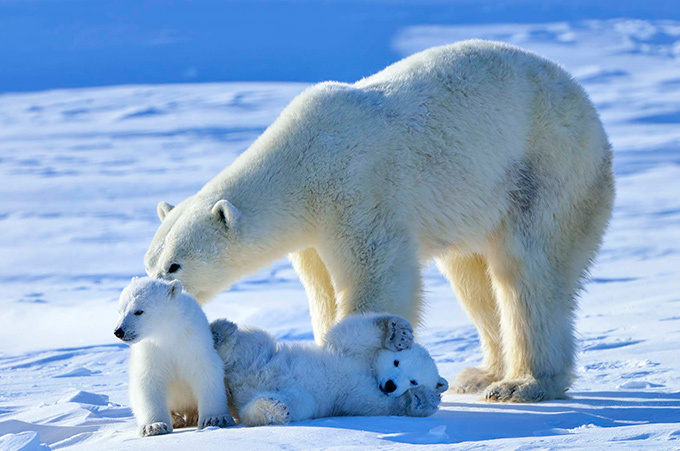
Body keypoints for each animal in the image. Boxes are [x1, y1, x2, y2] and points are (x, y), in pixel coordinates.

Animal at [113, 278, 234, 436]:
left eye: (138, 311)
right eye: (120, 310)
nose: (118, 331)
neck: (168, 334)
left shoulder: (194, 343)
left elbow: (206, 372)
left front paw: (215, 418)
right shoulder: (150, 350)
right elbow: (149, 379)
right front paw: (154, 426)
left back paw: (194, 416)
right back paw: (175, 419)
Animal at [145, 40, 616, 404]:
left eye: (175, 265)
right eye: (150, 264)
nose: (145, 306)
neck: (302, 163)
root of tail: (586, 105)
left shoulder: (357, 190)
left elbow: (378, 276)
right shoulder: (311, 236)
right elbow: (321, 290)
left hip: (546, 172)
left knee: (528, 274)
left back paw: (523, 383)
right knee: (472, 278)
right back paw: (480, 374)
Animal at [212, 314, 446, 428]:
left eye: (414, 381)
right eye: (396, 362)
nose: (390, 385)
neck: (370, 370)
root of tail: (238, 388)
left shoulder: (354, 393)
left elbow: (373, 404)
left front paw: (421, 400)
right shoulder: (348, 354)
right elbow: (352, 332)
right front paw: (398, 332)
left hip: (298, 395)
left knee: (296, 403)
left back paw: (269, 410)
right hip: (260, 353)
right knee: (251, 341)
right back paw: (221, 334)